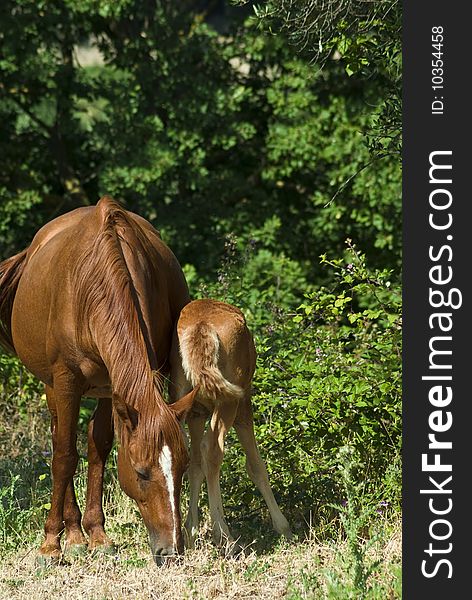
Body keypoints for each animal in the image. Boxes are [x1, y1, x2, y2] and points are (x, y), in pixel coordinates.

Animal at [0, 198, 195, 568]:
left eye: (182, 469)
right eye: (142, 472)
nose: (171, 551)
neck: (93, 285)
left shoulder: (112, 386)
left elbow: (99, 446)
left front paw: (98, 536)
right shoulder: (66, 381)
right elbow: (65, 456)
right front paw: (50, 544)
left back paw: (80, 534)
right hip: (52, 386)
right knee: (58, 440)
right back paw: (70, 533)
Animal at [168, 298, 290, 552]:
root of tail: (201, 326)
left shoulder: (196, 413)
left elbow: (195, 466)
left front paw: (191, 531)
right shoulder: (243, 405)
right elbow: (256, 465)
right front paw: (283, 527)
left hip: (182, 398)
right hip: (229, 401)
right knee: (213, 449)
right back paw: (226, 538)